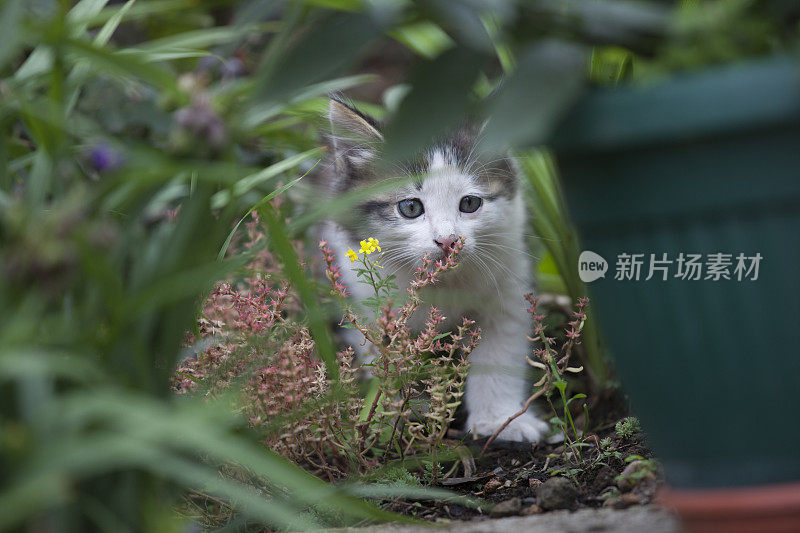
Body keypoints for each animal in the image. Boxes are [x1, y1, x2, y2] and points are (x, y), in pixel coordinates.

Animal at [316, 98, 548, 440]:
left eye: (469, 204)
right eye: (411, 207)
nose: (448, 240)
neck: (442, 285)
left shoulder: (509, 285)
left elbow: (499, 355)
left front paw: (499, 420)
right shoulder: (367, 305)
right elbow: (384, 359)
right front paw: (394, 416)